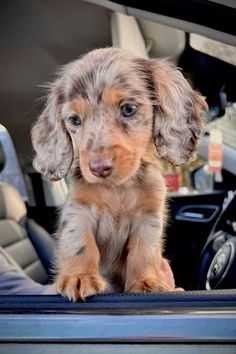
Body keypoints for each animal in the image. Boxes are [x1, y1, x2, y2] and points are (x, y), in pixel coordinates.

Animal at [31, 47, 206, 302]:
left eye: (128, 109)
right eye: (74, 120)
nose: (98, 168)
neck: (119, 188)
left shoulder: (149, 215)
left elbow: (143, 251)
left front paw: (146, 281)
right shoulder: (79, 209)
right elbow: (80, 242)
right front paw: (80, 276)